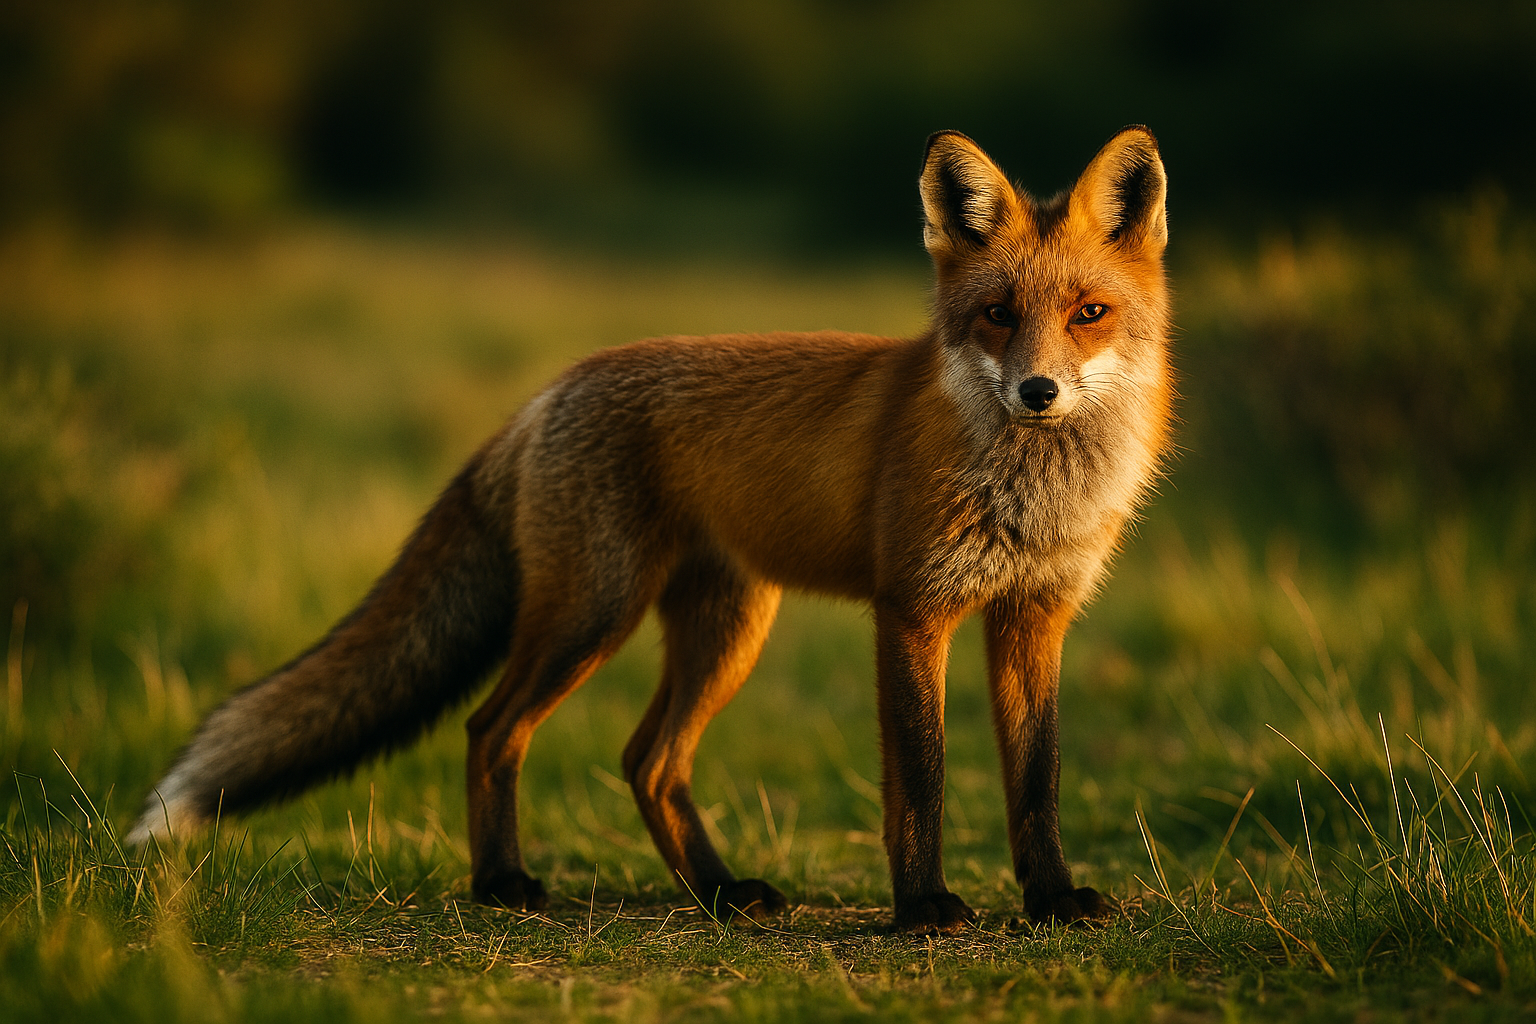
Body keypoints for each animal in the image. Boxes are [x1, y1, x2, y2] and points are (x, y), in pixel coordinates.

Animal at [128, 127, 1173, 933]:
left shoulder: (1036, 616)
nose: (1038, 391)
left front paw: (1051, 899)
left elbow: (1037, 777)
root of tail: (547, 391)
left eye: (1089, 313)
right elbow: (921, 773)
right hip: (593, 614)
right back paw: (502, 884)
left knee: (648, 760)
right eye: (996, 313)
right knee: (493, 728)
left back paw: (718, 893)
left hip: (726, 629)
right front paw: (922, 909)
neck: (1032, 497)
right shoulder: (912, 609)